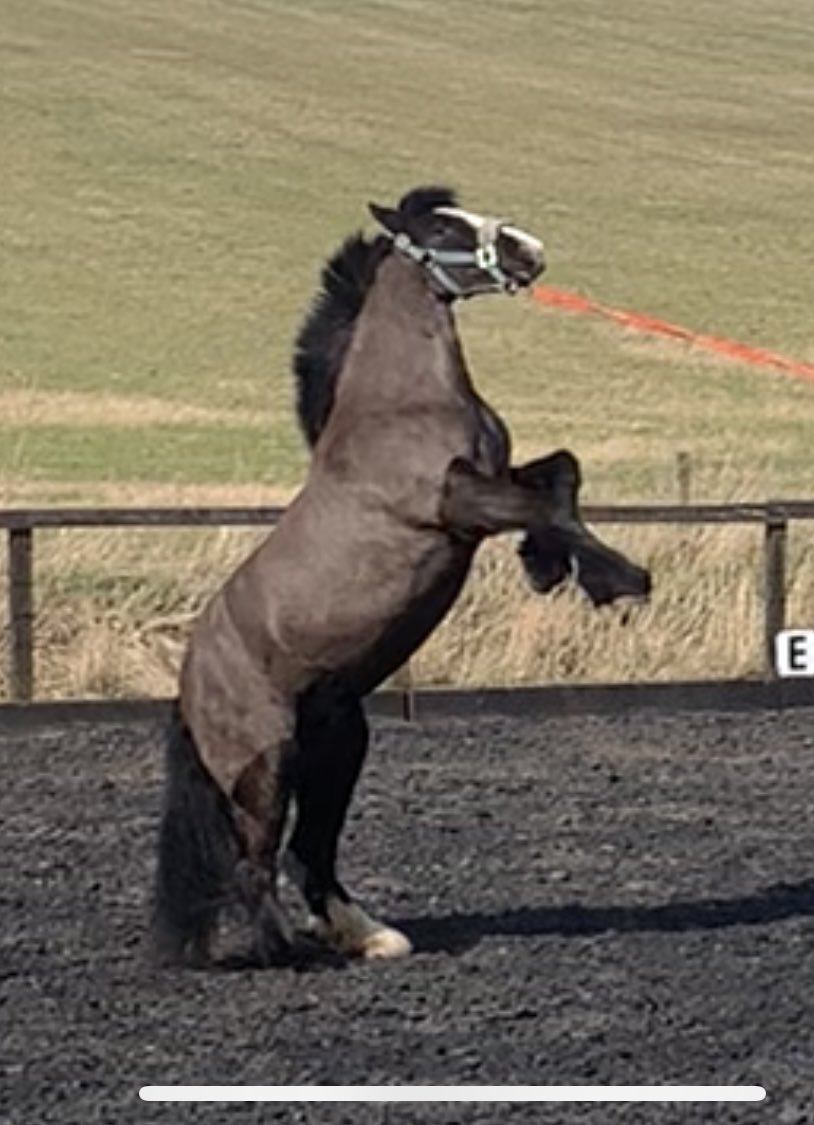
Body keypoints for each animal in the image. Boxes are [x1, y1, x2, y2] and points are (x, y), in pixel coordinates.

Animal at [153, 185, 650, 968]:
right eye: (443, 226)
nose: (530, 251)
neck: (399, 403)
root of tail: (189, 683)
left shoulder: (488, 483)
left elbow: (560, 473)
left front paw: (551, 566)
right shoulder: (456, 505)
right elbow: (551, 497)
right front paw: (614, 578)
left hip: (338, 741)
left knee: (309, 850)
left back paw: (369, 936)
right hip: (267, 760)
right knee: (254, 861)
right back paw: (289, 951)